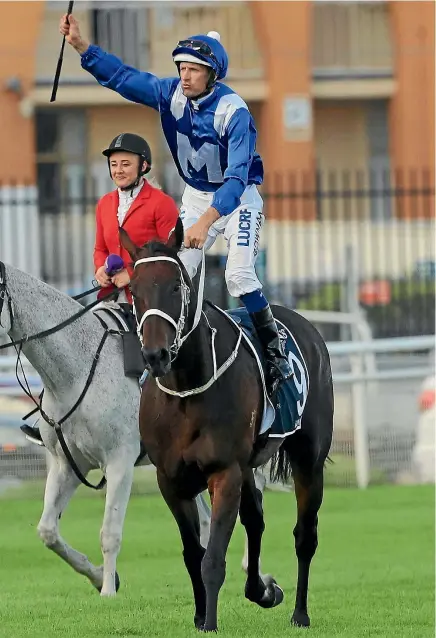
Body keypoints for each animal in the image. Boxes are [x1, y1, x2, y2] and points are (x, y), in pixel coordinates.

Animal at [120, 221, 334, 636]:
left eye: (176, 286)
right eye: (134, 290)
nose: (155, 355)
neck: (187, 390)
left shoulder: (224, 472)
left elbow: (213, 559)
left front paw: (209, 623)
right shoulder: (171, 480)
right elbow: (193, 553)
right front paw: (201, 614)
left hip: (308, 459)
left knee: (305, 535)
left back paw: (300, 613)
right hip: (249, 466)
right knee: (257, 519)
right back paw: (262, 591)